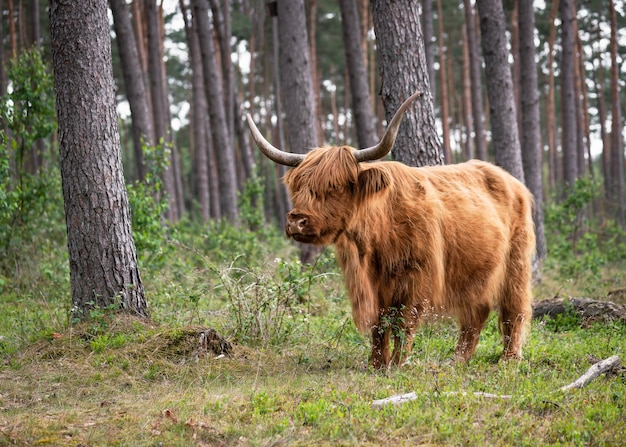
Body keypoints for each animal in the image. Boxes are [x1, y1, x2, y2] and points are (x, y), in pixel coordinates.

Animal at [244, 93, 532, 370]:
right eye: (299, 187)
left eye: (335, 186)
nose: (296, 221)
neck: (376, 237)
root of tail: (512, 181)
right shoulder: (371, 284)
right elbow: (378, 323)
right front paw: (376, 365)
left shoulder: (418, 277)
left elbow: (405, 322)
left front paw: (397, 363)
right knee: (476, 314)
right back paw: (457, 361)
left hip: (515, 266)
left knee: (514, 310)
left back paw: (508, 360)